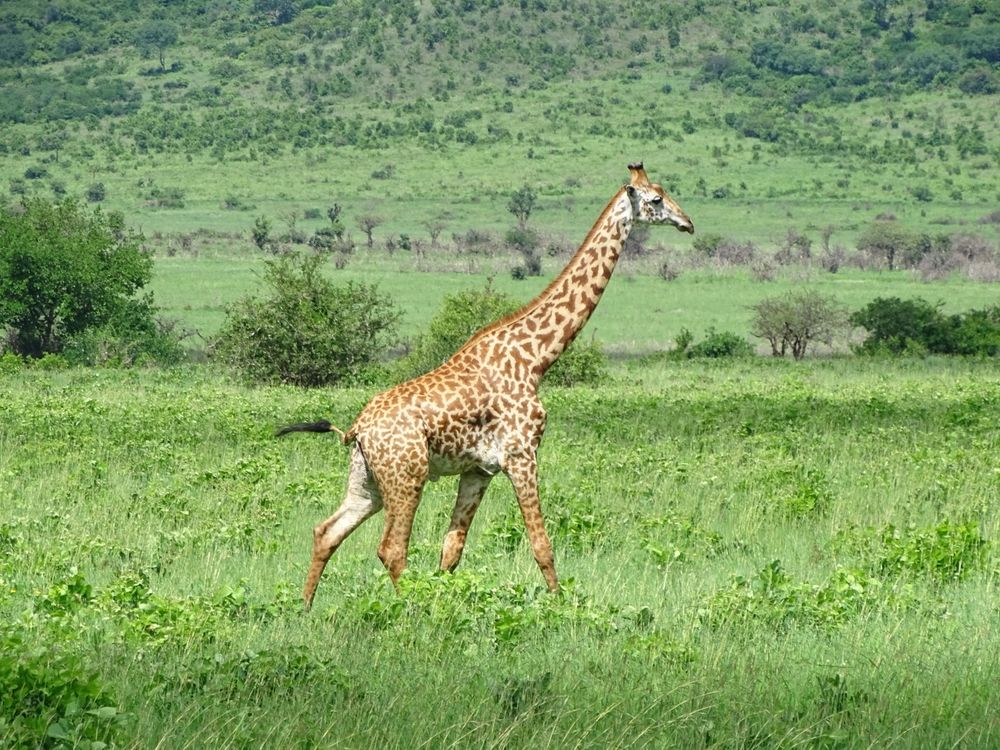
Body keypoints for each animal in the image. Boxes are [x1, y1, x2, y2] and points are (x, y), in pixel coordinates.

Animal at [280, 163, 693, 609]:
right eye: (656, 199)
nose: (687, 223)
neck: (536, 359)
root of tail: (357, 429)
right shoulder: (521, 454)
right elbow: (542, 545)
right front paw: (560, 607)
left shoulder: (478, 469)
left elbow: (451, 550)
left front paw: (446, 604)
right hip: (407, 475)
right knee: (391, 549)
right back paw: (408, 608)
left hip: (368, 480)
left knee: (326, 532)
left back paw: (305, 608)